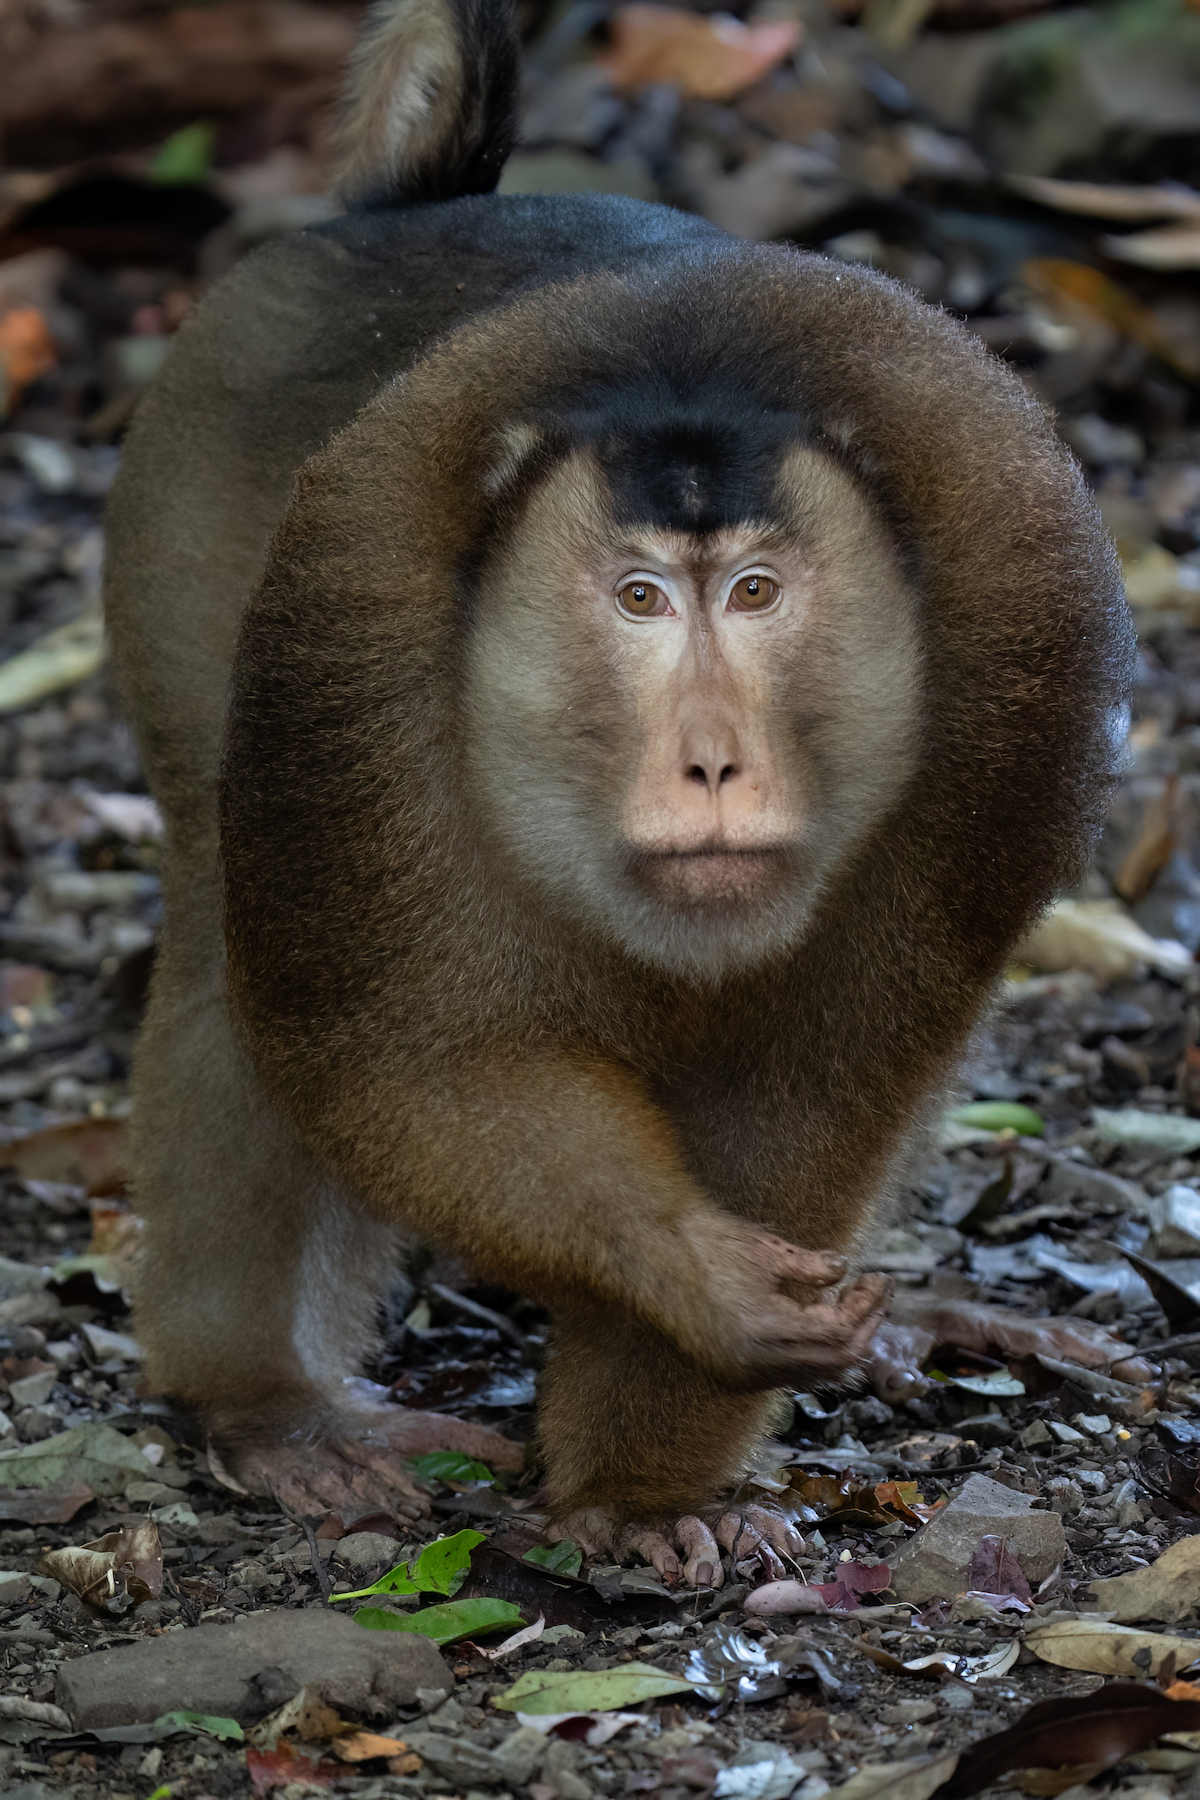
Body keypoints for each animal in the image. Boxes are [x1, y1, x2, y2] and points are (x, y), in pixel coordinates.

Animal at [103, 0, 1133, 1582]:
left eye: (758, 592)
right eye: (641, 599)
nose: (711, 759)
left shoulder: (1010, 672)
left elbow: (811, 1085)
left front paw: (648, 1483)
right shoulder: (353, 637)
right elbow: (403, 1053)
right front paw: (692, 1276)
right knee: (236, 932)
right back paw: (272, 1406)